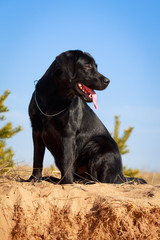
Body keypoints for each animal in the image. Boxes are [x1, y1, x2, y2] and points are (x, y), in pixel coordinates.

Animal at [27, 49, 146, 184]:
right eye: (87, 66)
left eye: (96, 67)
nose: (108, 81)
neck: (55, 99)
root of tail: (120, 175)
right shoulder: (36, 130)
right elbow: (37, 159)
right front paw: (34, 179)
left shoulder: (68, 133)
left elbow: (67, 161)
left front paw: (67, 183)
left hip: (98, 145)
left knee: (99, 180)